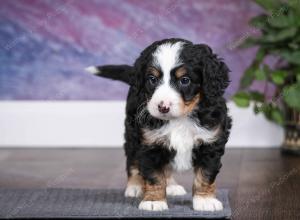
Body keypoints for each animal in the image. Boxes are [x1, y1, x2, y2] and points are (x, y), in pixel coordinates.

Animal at [85, 37, 231, 211]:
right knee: (132, 160)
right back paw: (135, 186)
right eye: (152, 79)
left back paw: (171, 186)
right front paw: (154, 201)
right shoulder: (150, 143)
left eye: (185, 80)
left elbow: (206, 174)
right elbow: (154, 175)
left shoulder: (210, 141)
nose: (163, 107)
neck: (180, 119)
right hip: (132, 133)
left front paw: (205, 200)